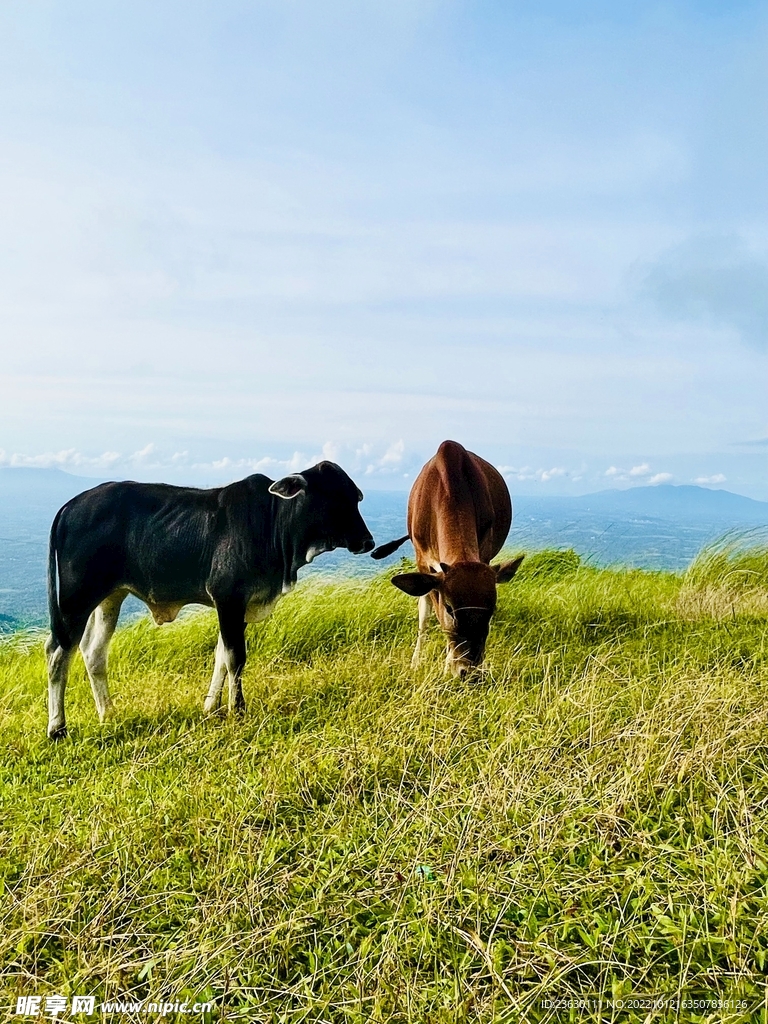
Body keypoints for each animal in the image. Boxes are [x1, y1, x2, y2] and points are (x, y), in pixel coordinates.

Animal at [45, 462, 376, 737]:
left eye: (356, 497)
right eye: (334, 498)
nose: (368, 541)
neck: (273, 525)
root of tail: (70, 506)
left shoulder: (238, 607)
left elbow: (220, 657)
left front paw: (211, 707)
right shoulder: (228, 598)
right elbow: (235, 658)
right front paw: (237, 709)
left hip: (110, 596)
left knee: (93, 651)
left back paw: (108, 713)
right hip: (76, 598)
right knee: (58, 653)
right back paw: (57, 728)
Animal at [370, 438, 528, 671]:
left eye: (491, 609)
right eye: (450, 608)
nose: (469, 671)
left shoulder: (484, 552)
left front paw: (447, 665)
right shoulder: (423, 560)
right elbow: (427, 612)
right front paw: (417, 661)